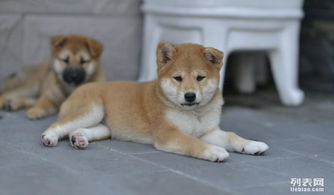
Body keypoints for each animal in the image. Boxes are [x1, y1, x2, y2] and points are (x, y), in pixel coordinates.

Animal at [40, 40, 268, 161]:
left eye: (200, 78)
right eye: (178, 78)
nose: (190, 95)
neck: (193, 114)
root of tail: (78, 89)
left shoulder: (209, 132)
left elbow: (232, 136)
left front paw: (251, 144)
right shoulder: (168, 133)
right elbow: (192, 142)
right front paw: (213, 151)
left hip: (105, 126)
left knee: (78, 129)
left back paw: (79, 138)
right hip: (92, 110)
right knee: (58, 125)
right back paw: (49, 137)